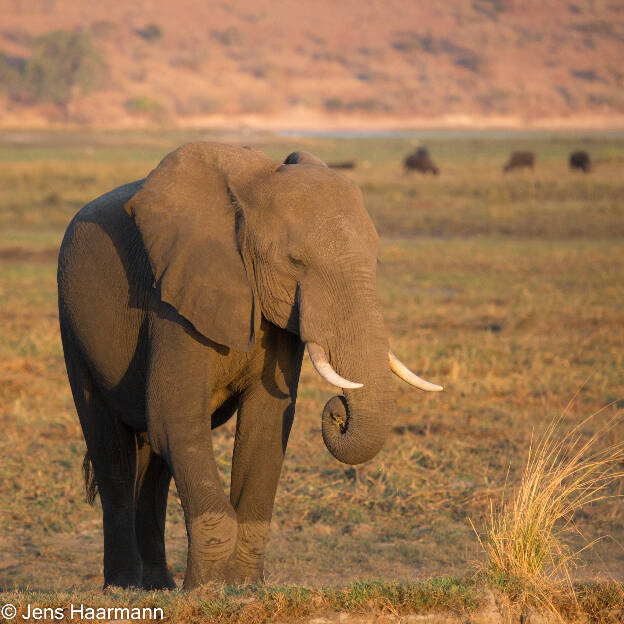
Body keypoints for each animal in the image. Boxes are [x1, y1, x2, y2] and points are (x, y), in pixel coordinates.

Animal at [56, 141, 442, 588]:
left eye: (376, 260)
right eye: (294, 262)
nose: (338, 410)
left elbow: (267, 423)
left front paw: (242, 588)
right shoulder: (172, 300)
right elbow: (176, 419)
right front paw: (207, 589)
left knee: (153, 465)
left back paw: (158, 585)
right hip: (73, 323)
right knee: (111, 452)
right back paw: (125, 586)